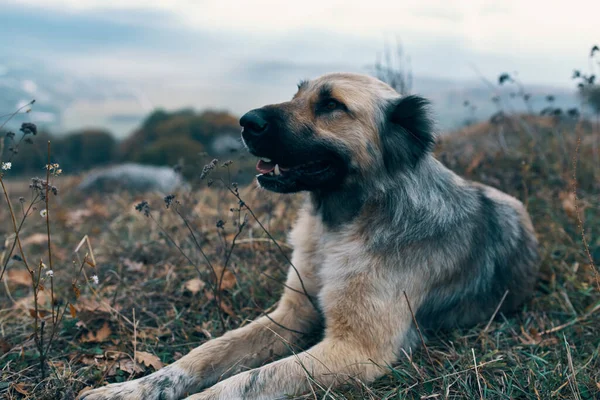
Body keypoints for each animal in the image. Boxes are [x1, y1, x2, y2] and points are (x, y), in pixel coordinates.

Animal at [79, 73, 540, 398]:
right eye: (297, 93)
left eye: (332, 105)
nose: (246, 122)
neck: (342, 224)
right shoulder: (289, 316)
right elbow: (204, 354)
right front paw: (130, 389)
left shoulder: (355, 350)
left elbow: (250, 380)